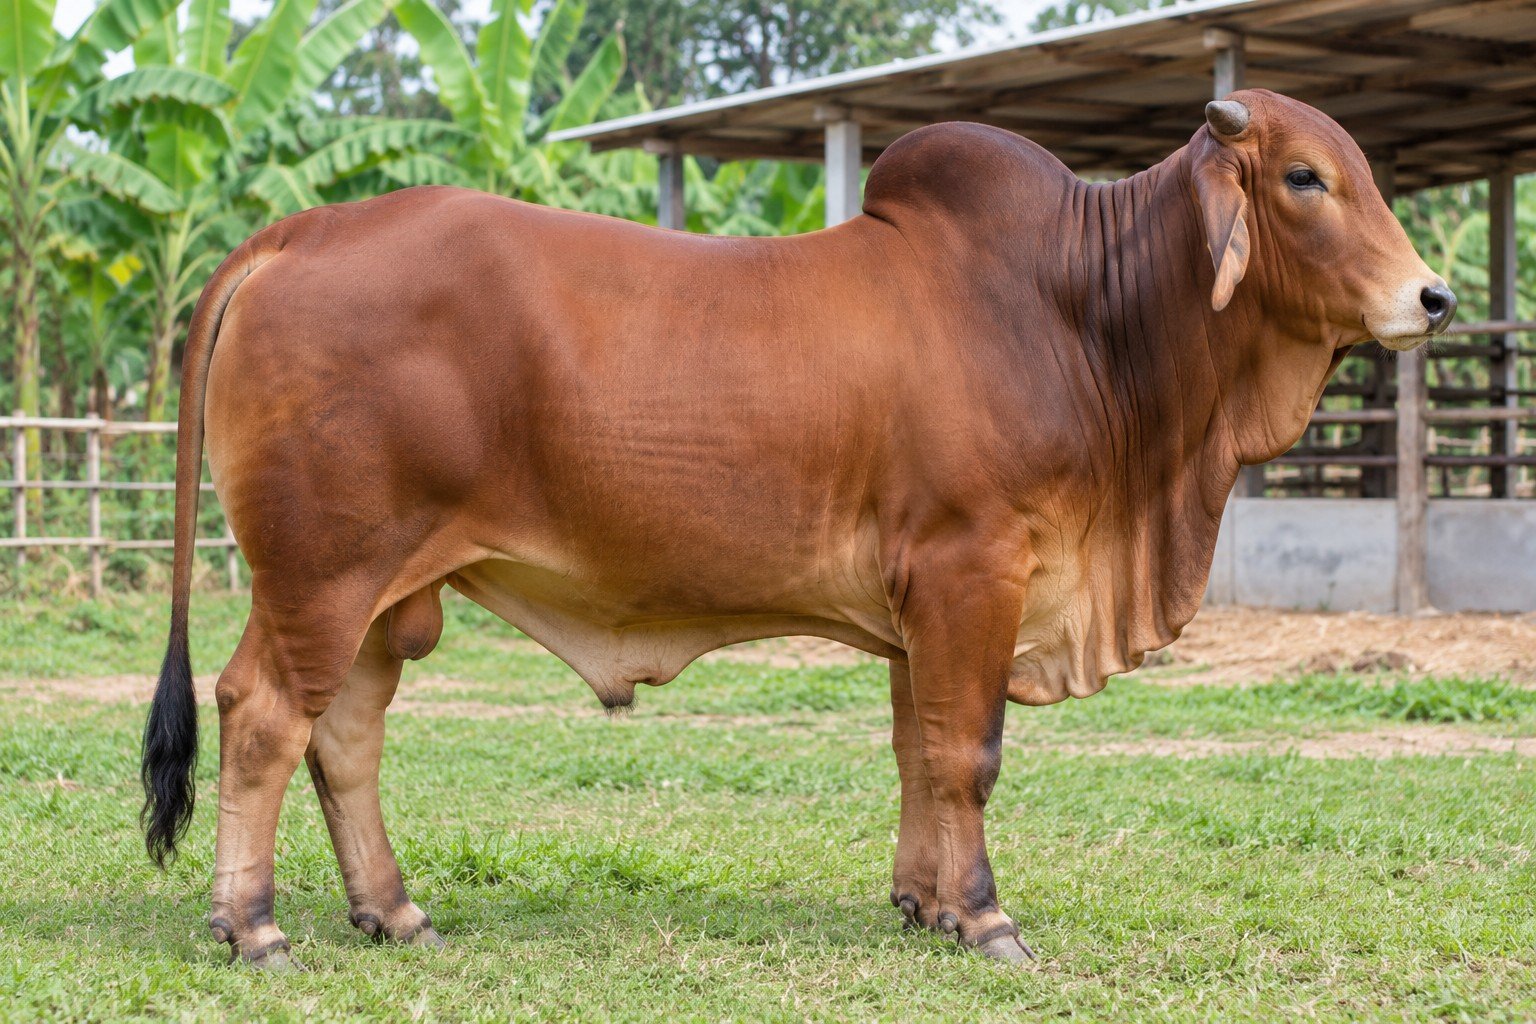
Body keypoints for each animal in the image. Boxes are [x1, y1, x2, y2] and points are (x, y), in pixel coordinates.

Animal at [140, 89, 1454, 969]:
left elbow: (921, 750)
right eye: (1305, 178)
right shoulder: (975, 569)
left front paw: (925, 902)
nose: (1433, 297)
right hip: (321, 571)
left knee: (346, 735)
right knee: (262, 715)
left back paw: (395, 909)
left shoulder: (924, 603)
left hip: (380, 595)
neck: (1082, 315)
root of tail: (299, 233)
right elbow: (971, 753)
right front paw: (987, 919)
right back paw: (252, 926)